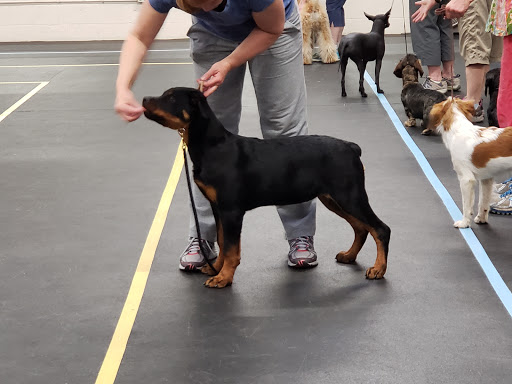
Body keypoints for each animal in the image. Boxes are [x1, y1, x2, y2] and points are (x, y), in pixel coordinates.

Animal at [142, 88, 390, 288]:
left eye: (171, 98)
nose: (144, 99)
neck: (211, 146)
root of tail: (351, 147)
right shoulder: (218, 207)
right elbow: (222, 241)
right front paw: (217, 268)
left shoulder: (232, 210)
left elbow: (232, 248)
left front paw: (223, 277)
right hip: (334, 198)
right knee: (361, 228)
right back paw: (349, 255)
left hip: (349, 195)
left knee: (380, 228)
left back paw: (378, 269)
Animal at [428, 97, 512, 228]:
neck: (458, 129)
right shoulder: (486, 179)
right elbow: (483, 202)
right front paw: (481, 219)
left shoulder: (466, 179)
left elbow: (466, 205)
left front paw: (464, 223)